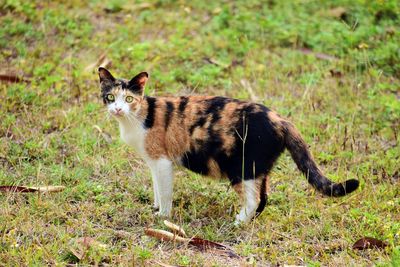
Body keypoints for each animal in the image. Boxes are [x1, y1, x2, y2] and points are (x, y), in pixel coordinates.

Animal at [99, 67, 360, 226]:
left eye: (129, 99)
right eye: (110, 97)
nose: (118, 109)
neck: (136, 117)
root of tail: (281, 119)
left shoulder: (162, 161)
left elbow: (164, 191)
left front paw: (163, 216)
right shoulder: (153, 161)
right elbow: (155, 186)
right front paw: (154, 207)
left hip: (242, 168)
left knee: (254, 199)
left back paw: (236, 223)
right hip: (258, 168)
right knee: (264, 198)